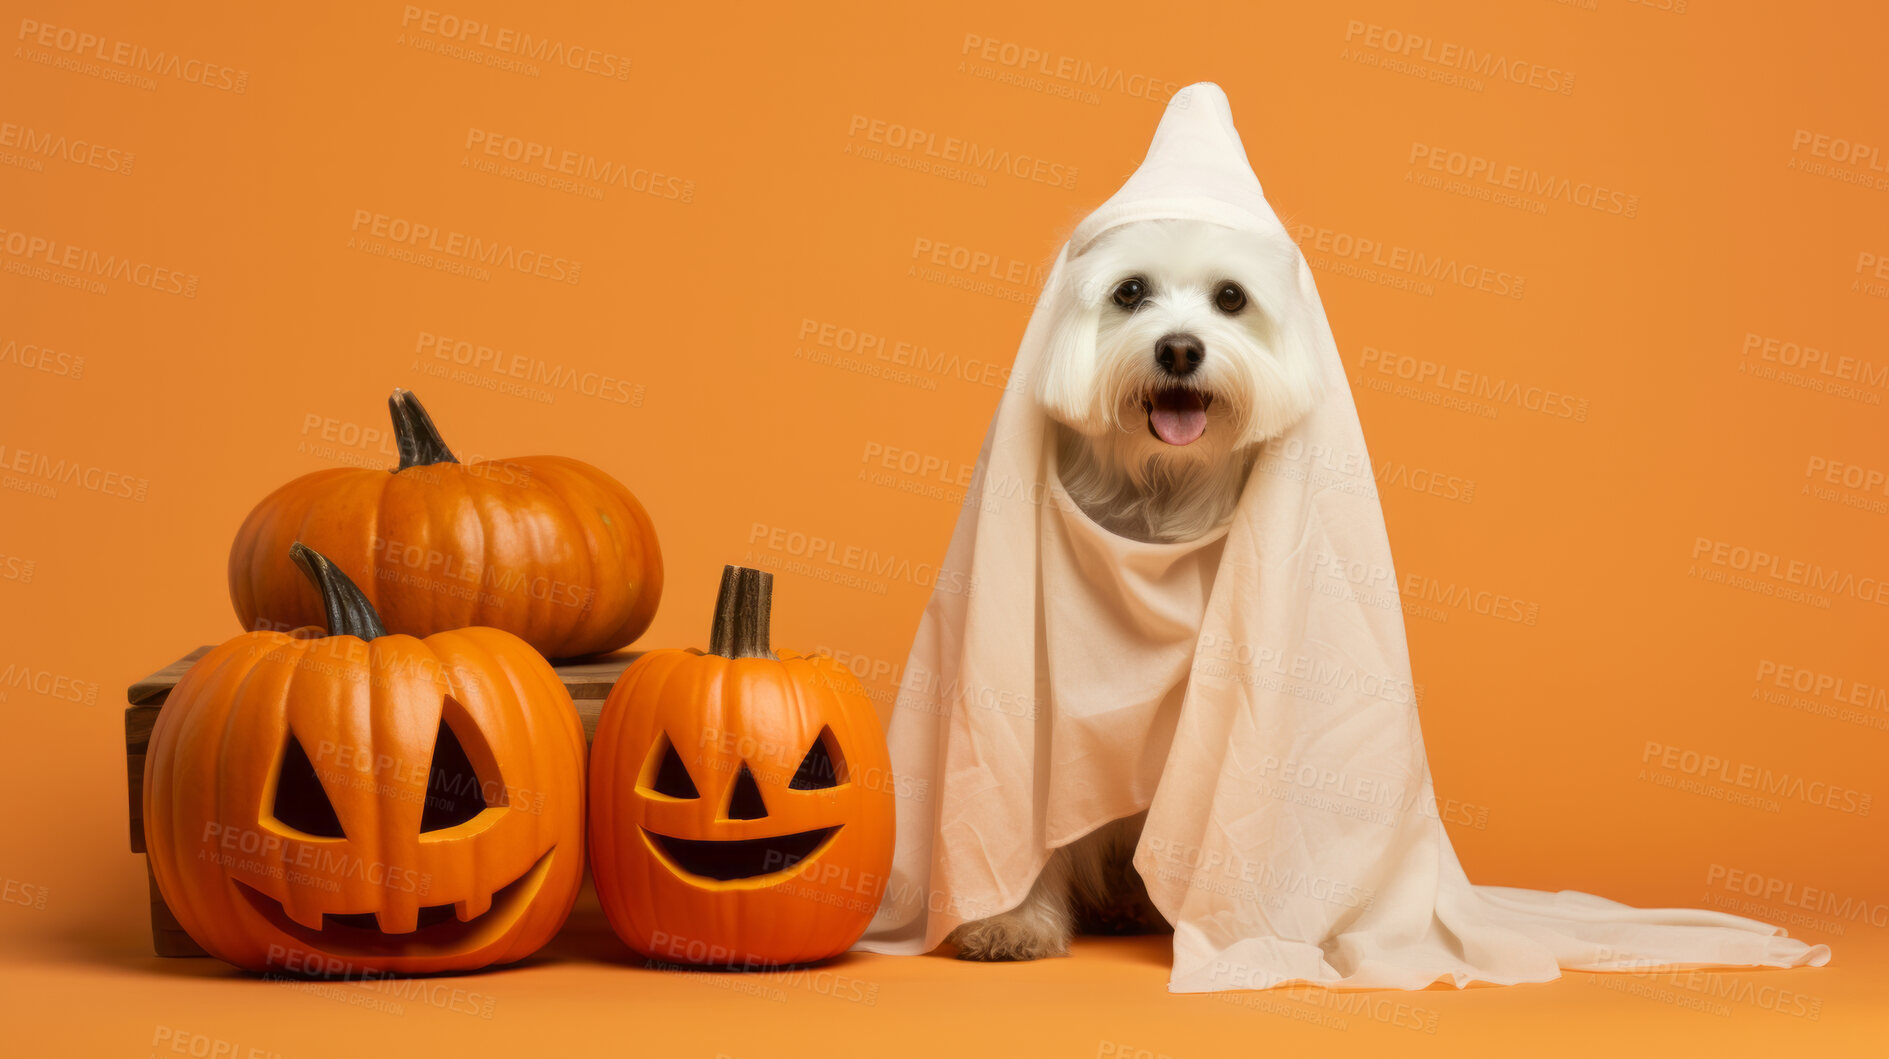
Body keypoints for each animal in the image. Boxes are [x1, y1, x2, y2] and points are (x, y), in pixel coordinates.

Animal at [952, 215, 1322, 958]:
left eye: (1231, 297)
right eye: (1129, 291)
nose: (1178, 349)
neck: (1160, 490)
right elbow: (1031, 820)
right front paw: (1012, 920)